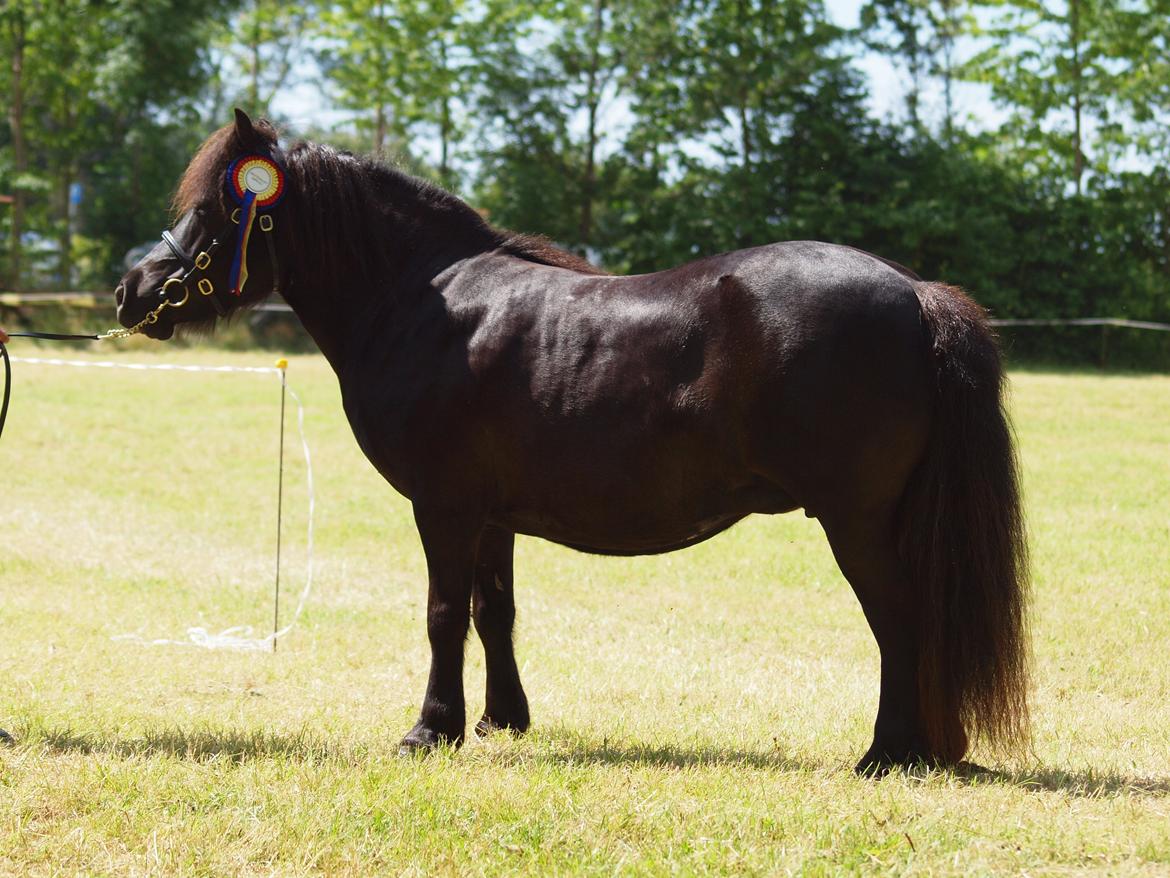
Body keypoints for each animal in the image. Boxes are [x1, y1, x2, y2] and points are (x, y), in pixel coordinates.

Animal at [109, 111, 1029, 777]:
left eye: (219, 209)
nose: (132, 291)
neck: (423, 303)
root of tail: (914, 292)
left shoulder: (443, 506)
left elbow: (442, 614)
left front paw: (429, 731)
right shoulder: (492, 514)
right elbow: (494, 612)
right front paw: (500, 720)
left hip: (857, 519)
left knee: (899, 618)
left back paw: (886, 754)